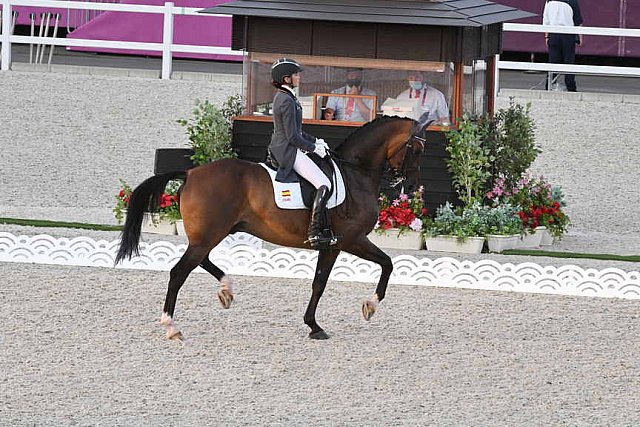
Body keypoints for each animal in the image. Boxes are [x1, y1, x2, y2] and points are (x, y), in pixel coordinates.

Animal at [116, 116, 424, 342]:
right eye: (417, 149)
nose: (408, 186)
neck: (355, 173)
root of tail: (191, 173)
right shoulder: (347, 240)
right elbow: (378, 266)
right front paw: (365, 307)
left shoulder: (338, 244)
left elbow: (324, 281)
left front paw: (314, 324)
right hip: (209, 235)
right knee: (179, 272)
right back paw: (171, 326)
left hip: (212, 233)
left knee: (201, 260)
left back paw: (226, 290)